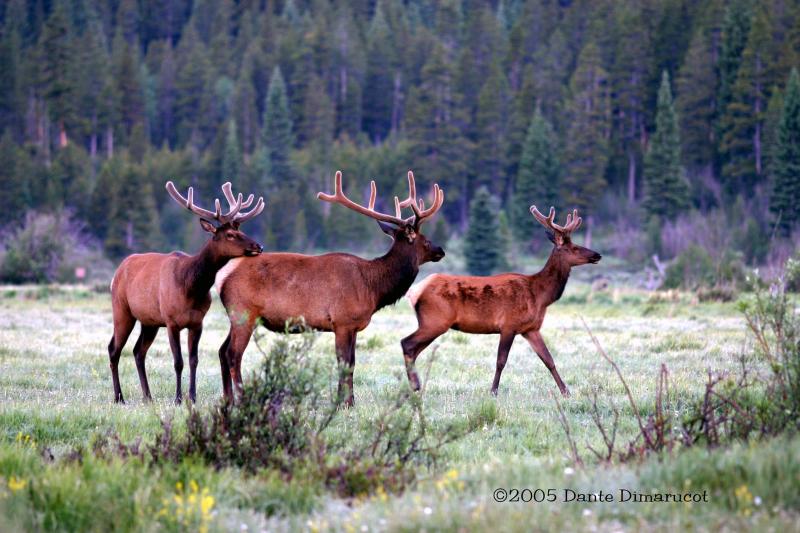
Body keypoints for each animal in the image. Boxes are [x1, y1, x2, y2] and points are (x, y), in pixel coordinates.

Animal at [108, 181, 266, 402]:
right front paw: (178, 398)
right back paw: (119, 397)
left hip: (150, 321)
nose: (258, 246)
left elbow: (194, 360)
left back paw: (148, 396)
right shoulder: (171, 321)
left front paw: (192, 396)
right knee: (114, 349)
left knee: (138, 351)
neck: (190, 288)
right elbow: (178, 362)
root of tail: (117, 271)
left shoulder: (197, 322)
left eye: (240, 230)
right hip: (122, 310)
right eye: (230, 235)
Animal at [214, 172, 444, 406]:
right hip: (243, 313)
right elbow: (344, 362)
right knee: (233, 354)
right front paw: (345, 403)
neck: (373, 288)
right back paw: (241, 399)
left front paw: (348, 401)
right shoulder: (342, 321)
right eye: (424, 240)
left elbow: (351, 363)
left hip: (238, 317)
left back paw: (228, 400)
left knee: (222, 351)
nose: (441, 250)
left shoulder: (353, 326)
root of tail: (222, 275)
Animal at [406, 206, 600, 396]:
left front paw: (566, 392)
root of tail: (415, 291)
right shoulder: (508, 325)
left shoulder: (531, 329)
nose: (597, 255)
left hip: (432, 323)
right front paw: (493, 391)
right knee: (407, 344)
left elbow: (549, 359)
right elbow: (501, 361)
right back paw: (413, 388)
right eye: (574, 247)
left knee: (413, 350)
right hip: (435, 321)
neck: (540, 296)